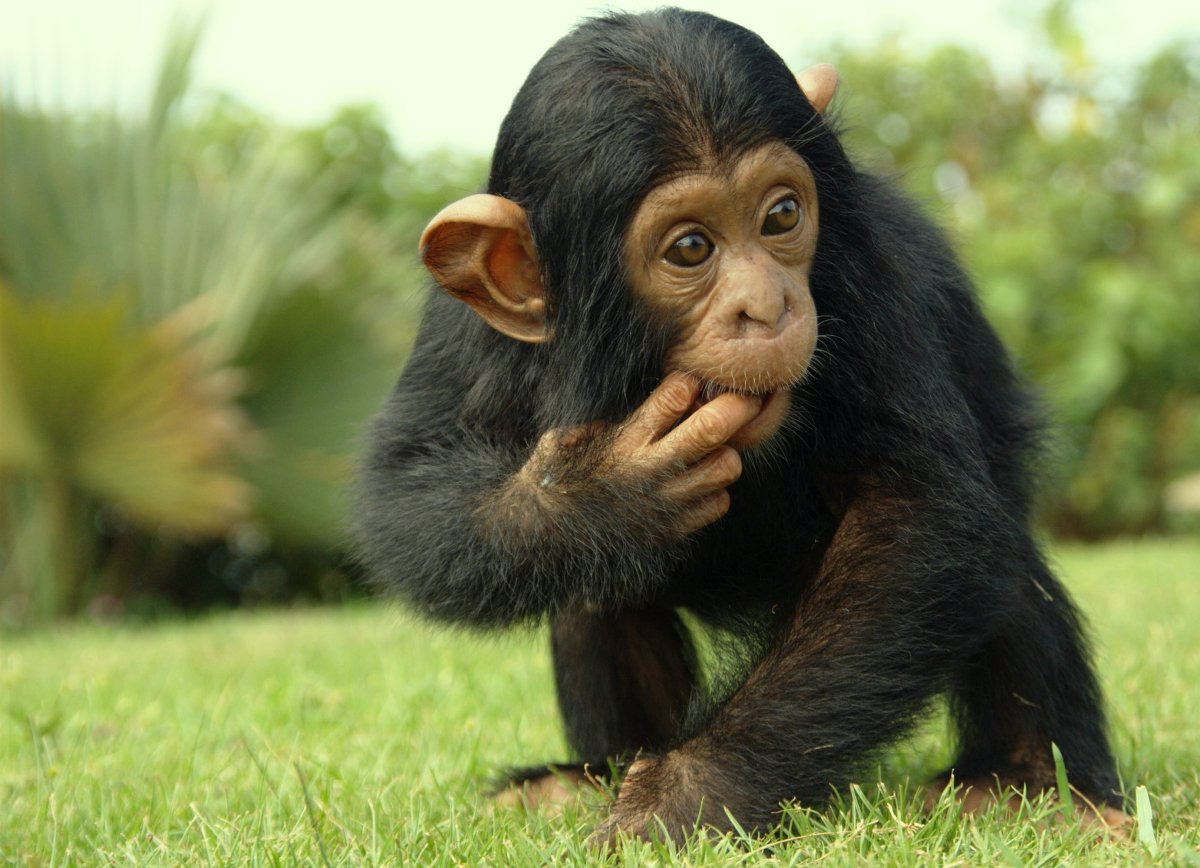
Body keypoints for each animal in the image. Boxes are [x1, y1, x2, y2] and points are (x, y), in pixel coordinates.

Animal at [354, 8, 1125, 844]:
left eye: (782, 214)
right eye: (691, 247)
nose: (767, 303)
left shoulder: (883, 275)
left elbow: (916, 515)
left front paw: (684, 795)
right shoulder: (466, 323)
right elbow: (407, 486)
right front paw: (597, 496)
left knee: (1000, 556)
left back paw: (1025, 786)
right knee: (588, 583)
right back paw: (583, 776)